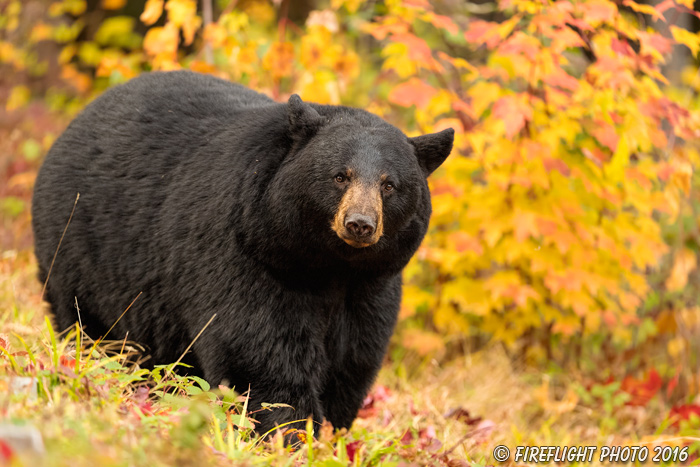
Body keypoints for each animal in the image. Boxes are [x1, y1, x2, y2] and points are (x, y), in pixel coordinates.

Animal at [32, 70, 454, 438]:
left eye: (389, 185)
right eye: (340, 175)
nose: (360, 224)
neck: (329, 266)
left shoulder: (371, 285)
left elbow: (353, 359)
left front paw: (329, 433)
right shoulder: (247, 256)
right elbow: (258, 350)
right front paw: (288, 432)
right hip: (78, 252)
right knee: (86, 323)